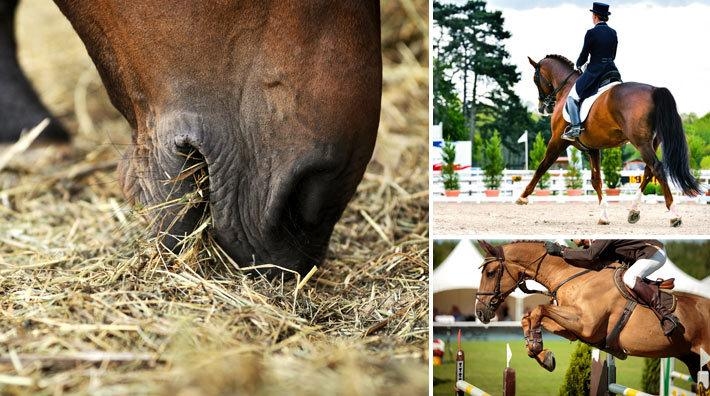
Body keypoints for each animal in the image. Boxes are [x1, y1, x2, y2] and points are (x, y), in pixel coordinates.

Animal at [476, 240, 710, 378]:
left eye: (490, 273)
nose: (479, 312)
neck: (573, 276)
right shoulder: (574, 329)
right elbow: (530, 317)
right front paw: (540, 352)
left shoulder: (586, 326)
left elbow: (539, 309)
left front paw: (537, 348)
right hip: (695, 362)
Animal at [516, 54, 700, 227]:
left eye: (535, 79)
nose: (542, 107)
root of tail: (654, 90)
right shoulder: (592, 148)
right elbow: (596, 180)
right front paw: (603, 216)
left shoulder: (557, 141)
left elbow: (542, 167)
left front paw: (522, 197)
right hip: (651, 142)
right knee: (649, 171)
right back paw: (633, 211)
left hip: (640, 143)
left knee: (657, 168)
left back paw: (674, 215)